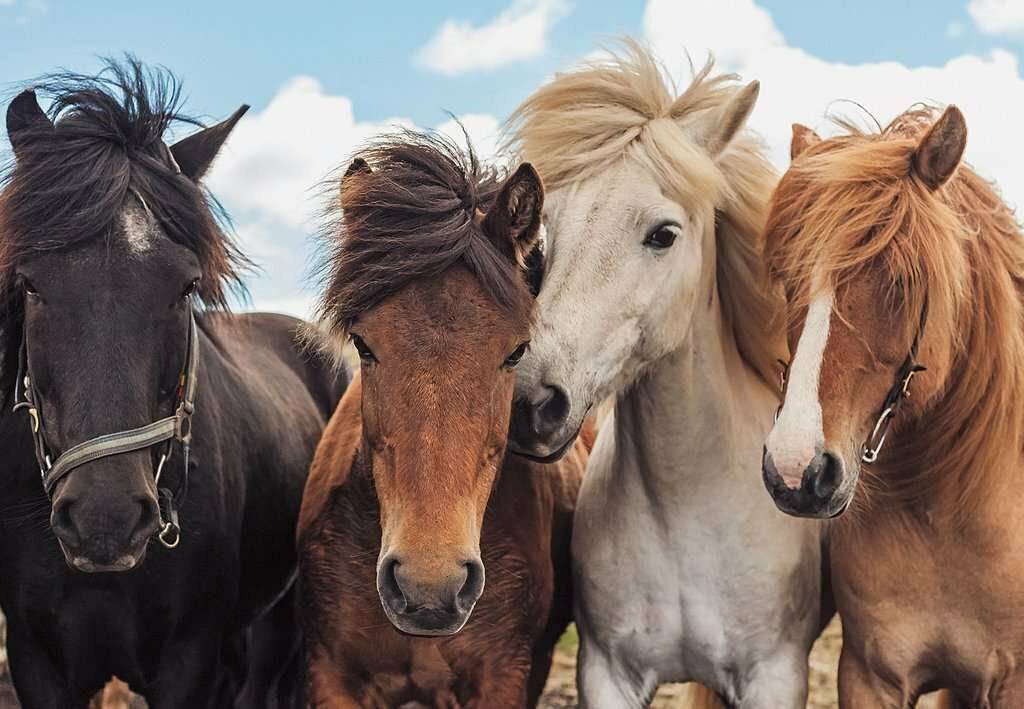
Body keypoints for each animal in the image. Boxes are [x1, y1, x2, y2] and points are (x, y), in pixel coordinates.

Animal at [503, 42, 828, 708]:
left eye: (663, 234)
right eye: (547, 236)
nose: (531, 405)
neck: (686, 512)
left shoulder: (775, 676)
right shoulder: (606, 673)